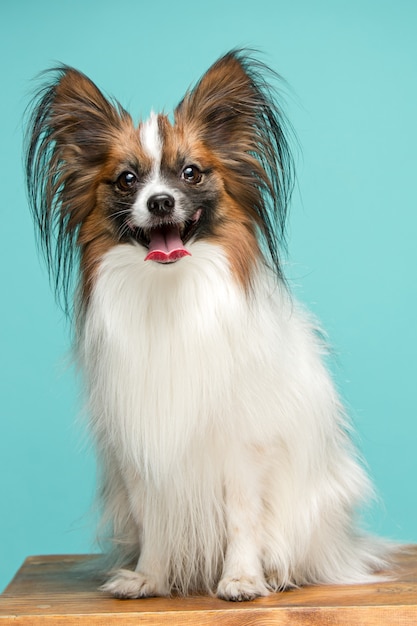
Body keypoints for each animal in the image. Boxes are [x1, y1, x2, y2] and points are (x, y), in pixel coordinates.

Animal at [25, 50, 386, 600]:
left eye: (191, 174)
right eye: (127, 180)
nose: (160, 202)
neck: (171, 290)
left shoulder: (241, 447)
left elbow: (242, 518)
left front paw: (241, 578)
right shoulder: (143, 449)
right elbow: (153, 518)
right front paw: (149, 577)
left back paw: (276, 572)